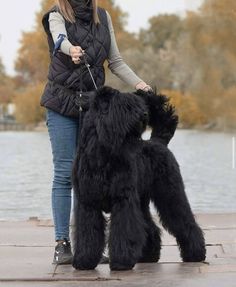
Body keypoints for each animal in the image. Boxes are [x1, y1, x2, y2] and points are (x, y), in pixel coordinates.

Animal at [71, 86, 206, 272]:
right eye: (124, 106)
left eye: (139, 105)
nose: (144, 114)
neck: (99, 152)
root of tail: (159, 142)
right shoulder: (88, 203)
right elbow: (87, 233)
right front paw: (84, 260)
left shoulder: (123, 199)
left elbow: (124, 230)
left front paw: (121, 261)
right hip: (142, 201)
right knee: (149, 227)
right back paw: (149, 256)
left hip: (170, 194)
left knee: (185, 222)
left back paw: (195, 254)